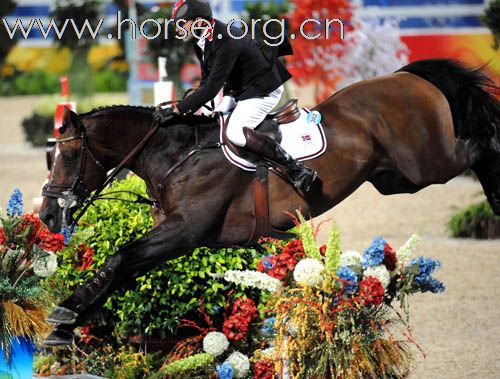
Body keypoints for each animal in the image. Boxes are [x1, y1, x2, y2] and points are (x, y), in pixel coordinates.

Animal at [39, 58, 500, 344]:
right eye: (49, 156)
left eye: (70, 157)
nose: (46, 215)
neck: (175, 155)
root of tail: (408, 77)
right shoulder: (173, 238)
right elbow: (120, 268)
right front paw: (68, 323)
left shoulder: (183, 232)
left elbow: (120, 259)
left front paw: (64, 316)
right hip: (394, 179)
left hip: (426, 163)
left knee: (481, 143)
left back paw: (495, 195)